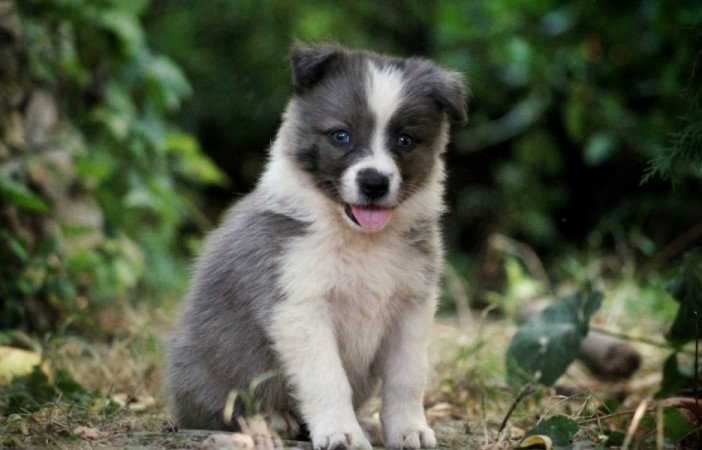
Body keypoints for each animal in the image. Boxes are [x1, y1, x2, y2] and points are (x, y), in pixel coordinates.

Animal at [166, 43, 468, 450]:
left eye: (404, 140)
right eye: (340, 136)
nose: (374, 183)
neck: (359, 241)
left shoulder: (412, 305)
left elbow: (408, 375)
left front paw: (408, 429)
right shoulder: (300, 307)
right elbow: (327, 379)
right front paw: (342, 432)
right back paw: (274, 421)